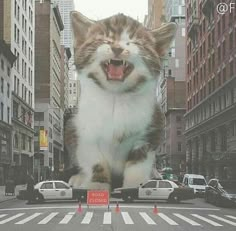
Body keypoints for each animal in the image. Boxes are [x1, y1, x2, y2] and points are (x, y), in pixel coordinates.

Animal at [65, 11, 176, 189]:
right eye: (104, 40)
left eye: (134, 42)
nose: (117, 48)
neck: (115, 98)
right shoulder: (81, 131)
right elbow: (95, 161)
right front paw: (97, 186)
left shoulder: (150, 131)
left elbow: (139, 164)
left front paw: (134, 186)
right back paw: (79, 178)